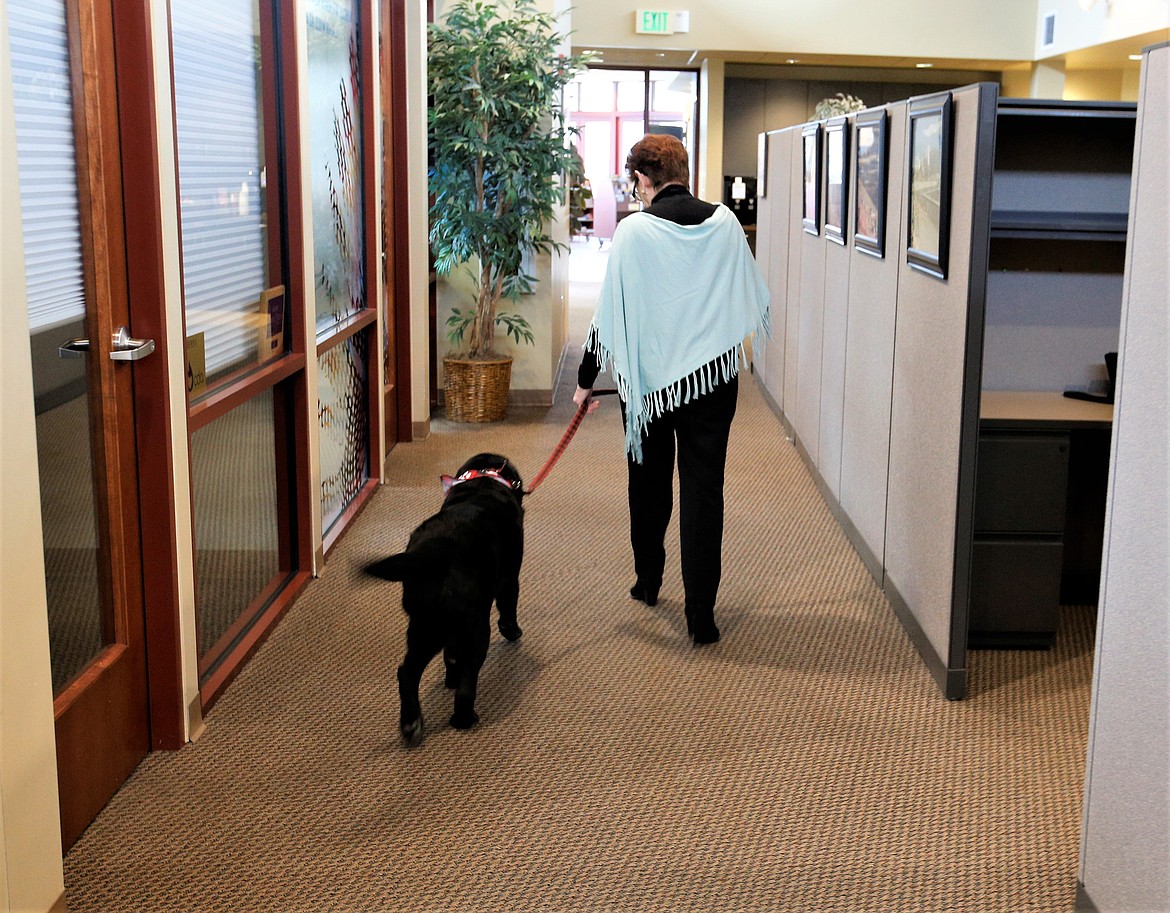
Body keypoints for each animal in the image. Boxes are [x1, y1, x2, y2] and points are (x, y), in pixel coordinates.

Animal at [365, 451, 526, 744]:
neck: (484, 480)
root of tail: (436, 554)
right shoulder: (510, 580)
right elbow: (509, 609)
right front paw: (513, 632)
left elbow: (451, 655)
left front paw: (450, 676)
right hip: (474, 628)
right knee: (467, 682)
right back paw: (463, 719)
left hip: (424, 625)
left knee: (407, 672)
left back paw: (411, 724)